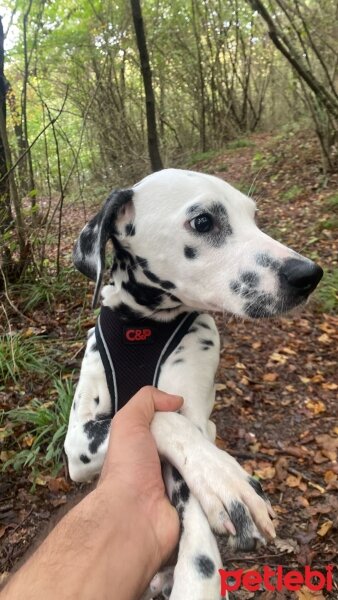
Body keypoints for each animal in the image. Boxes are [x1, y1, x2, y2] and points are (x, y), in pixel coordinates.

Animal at [64, 170, 324, 600]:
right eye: (203, 222)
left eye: (253, 217)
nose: (309, 275)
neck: (143, 327)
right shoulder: (77, 444)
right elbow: (157, 417)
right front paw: (225, 480)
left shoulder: (196, 418)